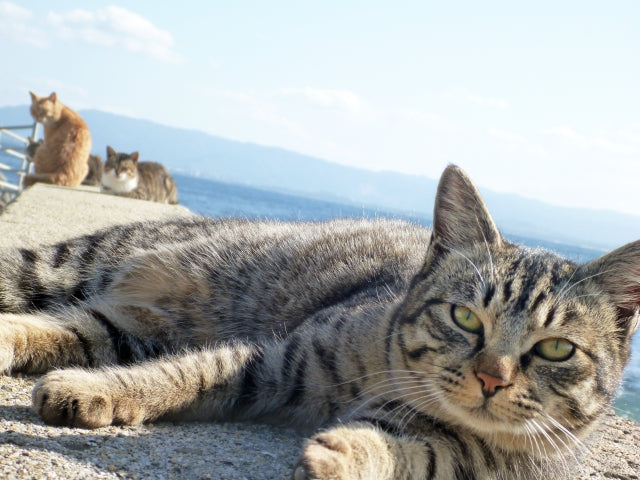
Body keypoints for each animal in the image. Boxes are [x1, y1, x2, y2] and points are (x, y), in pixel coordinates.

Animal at [0, 166, 636, 480]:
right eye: (464, 317)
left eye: (555, 350)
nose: (492, 377)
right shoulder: (278, 359)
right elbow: (181, 376)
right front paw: (102, 391)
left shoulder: (468, 458)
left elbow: (411, 451)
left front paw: (344, 453)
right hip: (80, 264)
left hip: (129, 324)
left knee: (74, 326)